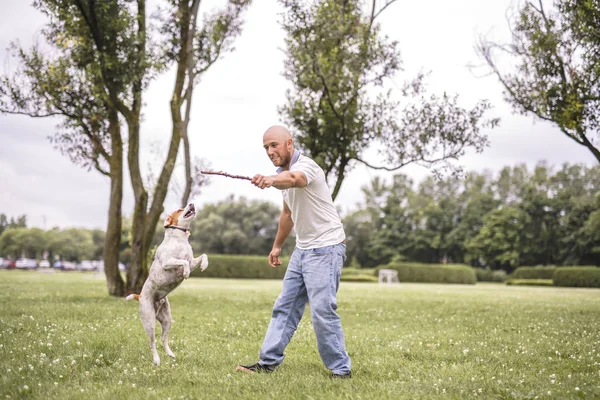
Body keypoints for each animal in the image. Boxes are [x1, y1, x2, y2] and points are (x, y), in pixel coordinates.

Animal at [125, 203, 207, 366]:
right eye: (179, 210)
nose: (192, 204)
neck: (180, 239)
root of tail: (140, 296)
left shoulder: (192, 261)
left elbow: (202, 256)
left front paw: (204, 265)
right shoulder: (168, 262)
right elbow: (182, 262)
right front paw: (185, 273)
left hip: (167, 320)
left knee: (164, 338)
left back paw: (170, 353)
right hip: (149, 321)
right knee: (152, 342)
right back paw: (156, 360)